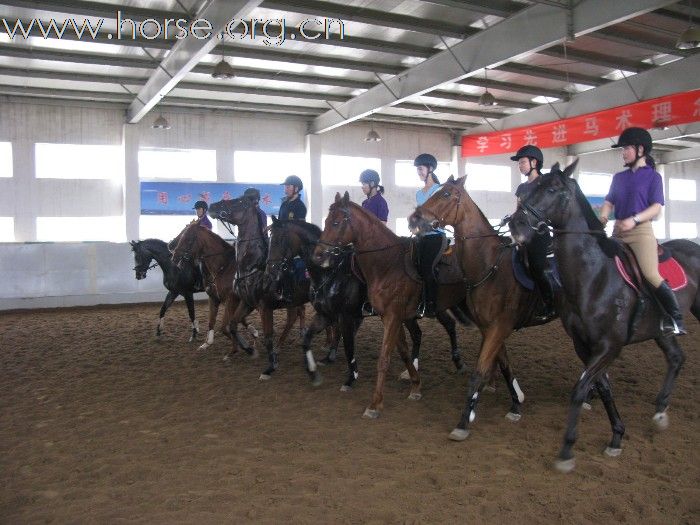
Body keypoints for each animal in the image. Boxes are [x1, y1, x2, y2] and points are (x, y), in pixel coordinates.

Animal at [266, 215, 468, 390]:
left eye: (279, 240)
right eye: (270, 238)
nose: (270, 270)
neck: (331, 272)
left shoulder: (345, 317)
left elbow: (348, 345)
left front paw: (351, 377)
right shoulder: (325, 315)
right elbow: (307, 339)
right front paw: (313, 372)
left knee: (443, 327)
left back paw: (453, 363)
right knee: (424, 332)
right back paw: (416, 368)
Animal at [314, 192, 474, 418]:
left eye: (336, 222)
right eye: (327, 221)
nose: (318, 254)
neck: (387, 264)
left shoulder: (390, 317)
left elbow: (383, 358)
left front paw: (374, 404)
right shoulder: (390, 317)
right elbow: (403, 352)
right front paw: (415, 386)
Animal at [404, 174, 564, 436]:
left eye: (446, 194)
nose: (414, 219)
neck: (490, 266)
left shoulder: (498, 328)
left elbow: (480, 371)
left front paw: (463, 422)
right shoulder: (489, 328)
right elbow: (504, 364)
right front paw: (515, 405)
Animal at [508, 161, 700, 470]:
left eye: (551, 189)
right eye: (529, 188)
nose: (516, 224)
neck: (595, 276)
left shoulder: (610, 346)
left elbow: (580, 389)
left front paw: (567, 450)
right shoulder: (584, 345)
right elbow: (603, 388)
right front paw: (616, 437)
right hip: (660, 330)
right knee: (676, 358)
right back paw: (660, 411)